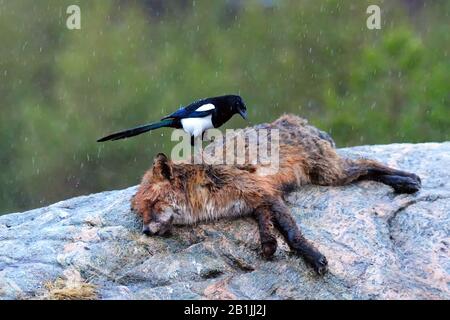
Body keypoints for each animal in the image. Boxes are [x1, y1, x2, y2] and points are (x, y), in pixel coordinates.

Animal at [132, 114, 420, 274]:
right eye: (140, 213)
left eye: (154, 203)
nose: (146, 231)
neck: (203, 192)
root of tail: (291, 119)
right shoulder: (254, 201)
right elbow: (266, 223)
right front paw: (269, 244)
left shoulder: (264, 191)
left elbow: (292, 234)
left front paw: (313, 257)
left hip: (331, 174)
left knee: (369, 163)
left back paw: (406, 180)